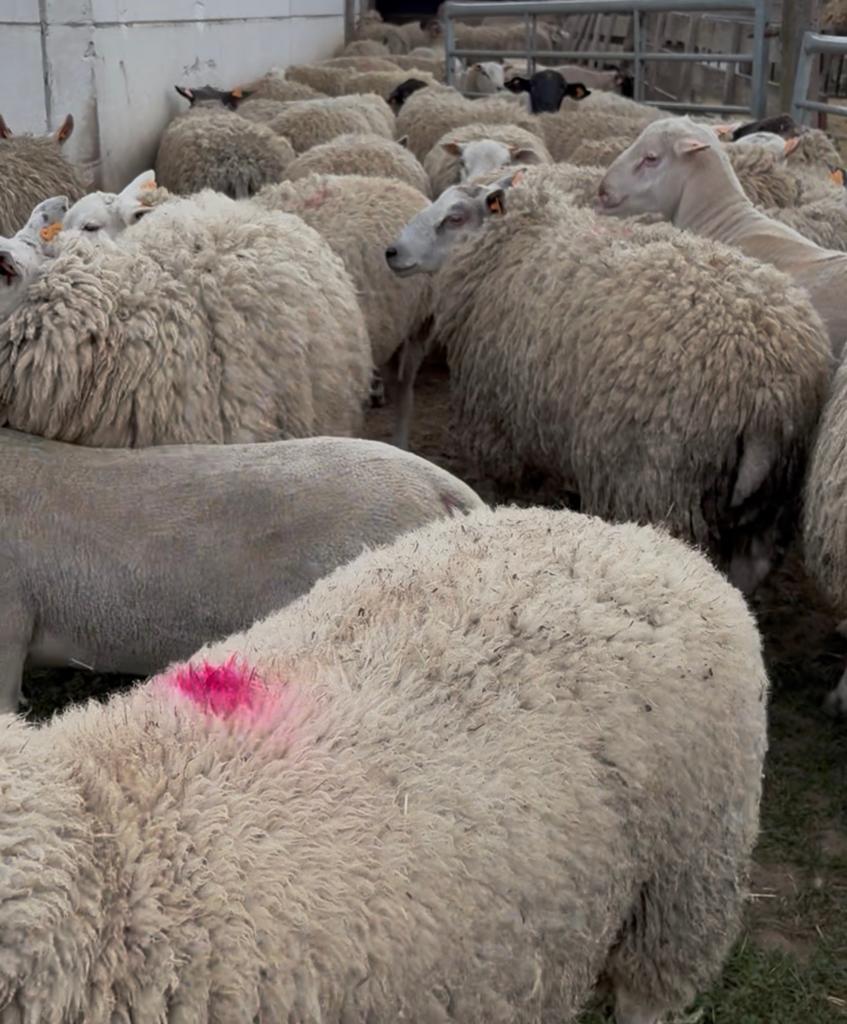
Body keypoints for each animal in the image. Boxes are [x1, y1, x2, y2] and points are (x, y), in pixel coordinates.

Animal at [386, 172, 831, 592]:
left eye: (454, 218)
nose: (391, 252)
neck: (516, 241)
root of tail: (769, 390)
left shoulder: (504, 429)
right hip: (771, 495)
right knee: (753, 562)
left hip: (654, 476)